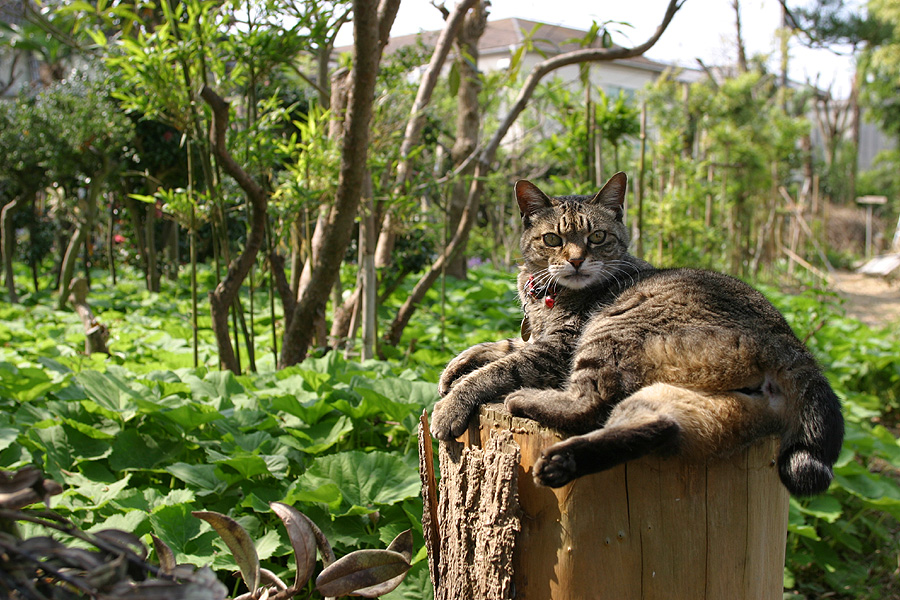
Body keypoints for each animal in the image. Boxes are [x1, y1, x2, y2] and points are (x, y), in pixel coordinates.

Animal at [428, 172, 844, 496]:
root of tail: (795, 347)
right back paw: (561, 462)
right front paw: (455, 366)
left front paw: (451, 404)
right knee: (656, 428)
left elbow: (500, 368)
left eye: (597, 237)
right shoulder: (536, 337)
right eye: (552, 240)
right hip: (694, 405)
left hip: (610, 332)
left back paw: (524, 402)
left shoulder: (558, 347)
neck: (544, 294)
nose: (576, 260)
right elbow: (500, 345)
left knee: (587, 403)